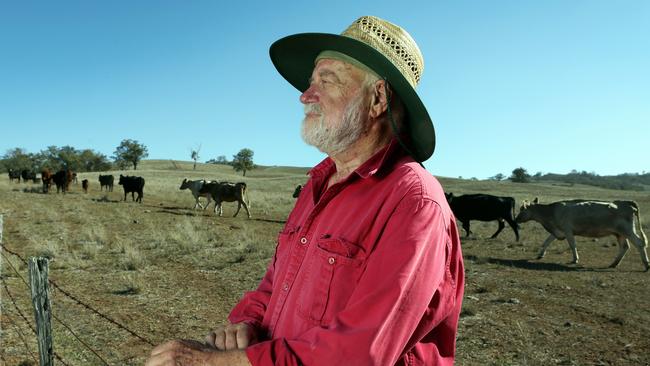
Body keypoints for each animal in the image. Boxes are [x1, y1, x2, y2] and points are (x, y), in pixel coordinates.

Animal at [512, 197, 644, 272]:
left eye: (522, 209)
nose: (516, 219)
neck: (551, 212)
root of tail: (627, 203)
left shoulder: (568, 231)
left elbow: (572, 245)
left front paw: (575, 259)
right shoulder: (558, 231)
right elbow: (547, 241)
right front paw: (540, 254)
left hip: (628, 230)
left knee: (639, 243)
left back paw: (646, 265)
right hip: (619, 233)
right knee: (625, 246)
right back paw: (614, 264)